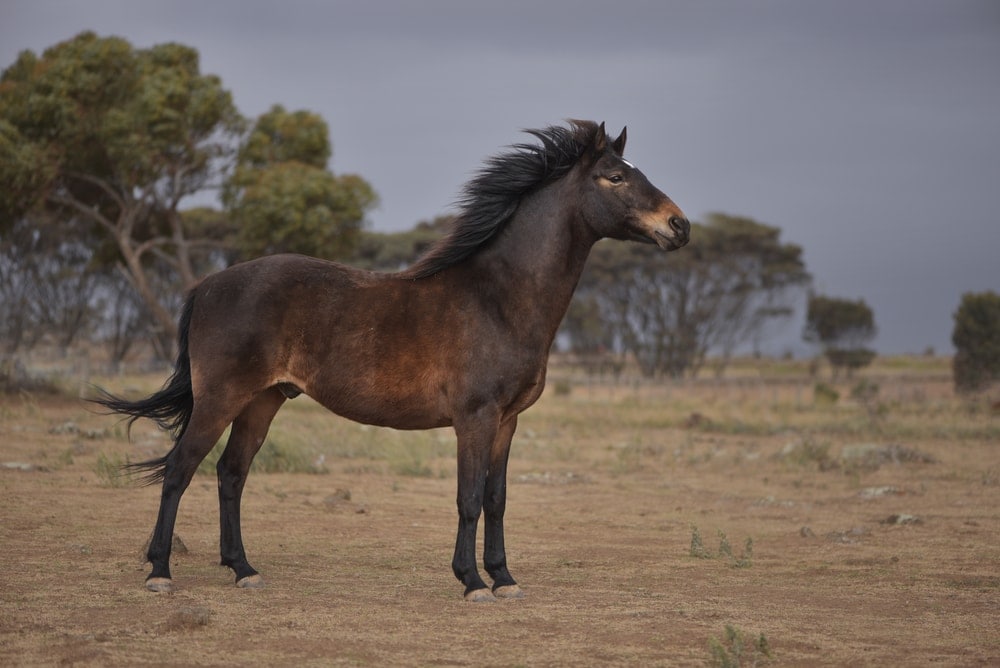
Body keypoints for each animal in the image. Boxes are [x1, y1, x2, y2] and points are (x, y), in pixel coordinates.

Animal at [96, 120, 690, 602]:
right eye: (614, 177)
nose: (679, 226)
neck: (498, 297)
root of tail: (208, 285)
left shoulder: (507, 421)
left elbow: (496, 499)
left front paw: (504, 578)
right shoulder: (474, 419)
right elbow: (468, 498)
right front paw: (472, 582)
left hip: (263, 401)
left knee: (230, 473)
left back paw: (244, 570)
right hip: (220, 398)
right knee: (180, 470)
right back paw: (160, 573)